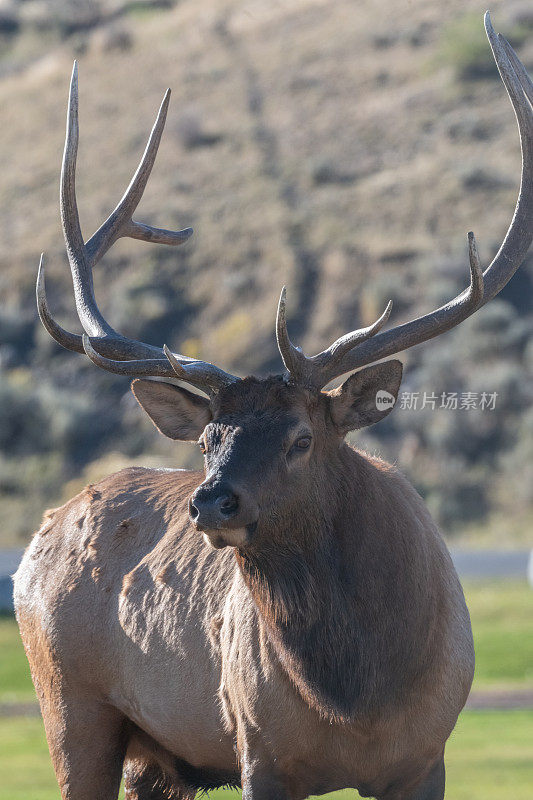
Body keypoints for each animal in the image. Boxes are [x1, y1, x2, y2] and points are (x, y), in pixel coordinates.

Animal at [14, 15, 528, 800]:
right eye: (209, 438)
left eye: (300, 438)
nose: (210, 503)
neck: (358, 701)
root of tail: (36, 539)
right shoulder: (258, 748)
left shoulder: (426, 754)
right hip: (69, 709)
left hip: (154, 758)